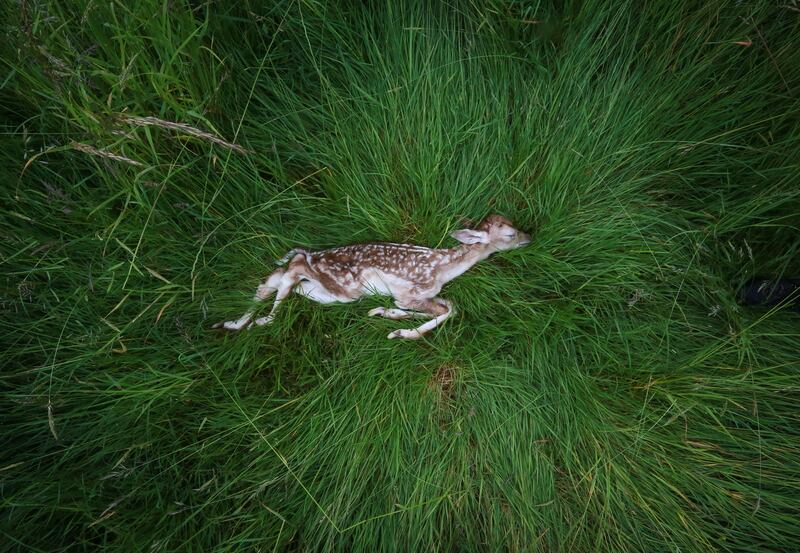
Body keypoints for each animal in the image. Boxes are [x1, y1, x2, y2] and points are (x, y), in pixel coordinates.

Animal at [213, 214, 531, 340]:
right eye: (510, 234)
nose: (529, 237)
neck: (444, 267)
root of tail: (317, 254)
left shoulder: (416, 295)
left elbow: (443, 308)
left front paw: (384, 314)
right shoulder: (412, 291)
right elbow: (449, 309)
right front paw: (402, 332)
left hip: (328, 294)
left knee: (284, 277)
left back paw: (232, 323)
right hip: (345, 284)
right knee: (295, 264)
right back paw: (262, 321)